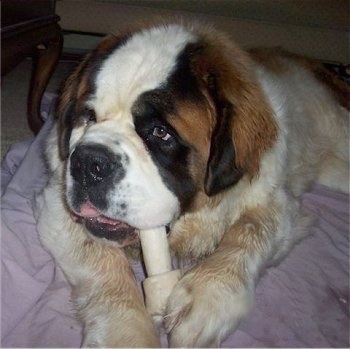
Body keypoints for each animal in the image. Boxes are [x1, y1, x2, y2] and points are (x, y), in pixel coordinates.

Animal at [36, 23, 350, 346]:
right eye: (88, 117)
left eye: (160, 133)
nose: (89, 163)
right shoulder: (57, 206)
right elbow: (101, 260)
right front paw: (127, 334)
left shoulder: (277, 205)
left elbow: (248, 232)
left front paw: (205, 300)